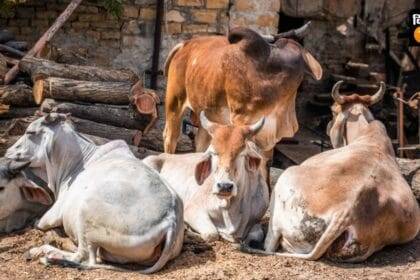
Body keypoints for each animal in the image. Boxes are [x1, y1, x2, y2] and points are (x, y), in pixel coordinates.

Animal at [4, 112, 185, 272]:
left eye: (30, 132)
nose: (7, 153)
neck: (76, 162)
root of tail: (171, 220)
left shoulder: (53, 214)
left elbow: (38, 223)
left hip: (86, 214)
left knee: (82, 257)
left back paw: (43, 253)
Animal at [144, 112, 270, 244]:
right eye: (213, 153)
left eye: (242, 153)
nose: (224, 186)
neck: (230, 209)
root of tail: (163, 155)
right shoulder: (192, 209)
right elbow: (211, 234)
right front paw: (189, 230)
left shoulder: (256, 222)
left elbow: (256, 237)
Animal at [163, 22, 322, 179]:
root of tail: (184, 45)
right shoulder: (242, 121)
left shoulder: (270, 135)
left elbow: (264, 166)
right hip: (174, 103)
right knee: (170, 137)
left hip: (207, 115)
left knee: (201, 145)